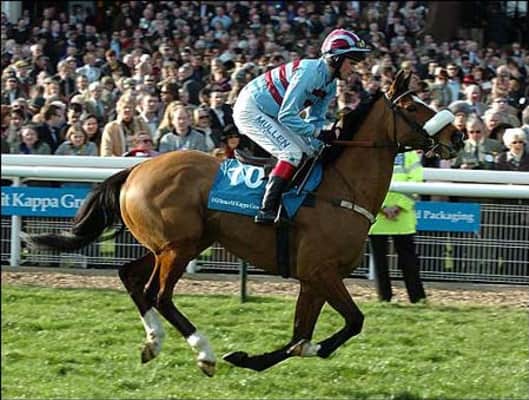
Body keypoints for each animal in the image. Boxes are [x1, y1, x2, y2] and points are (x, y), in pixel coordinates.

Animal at [22, 71, 463, 377]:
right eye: (413, 107)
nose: (457, 137)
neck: (342, 186)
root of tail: (135, 169)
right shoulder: (320, 271)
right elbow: (349, 323)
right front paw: (272, 353)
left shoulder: (313, 277)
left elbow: (300, 335)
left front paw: (253, 358)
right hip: (178, 247)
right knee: (157, 293)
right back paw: (204, 353)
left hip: (176, 244)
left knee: (130, 277)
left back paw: (154, 343)